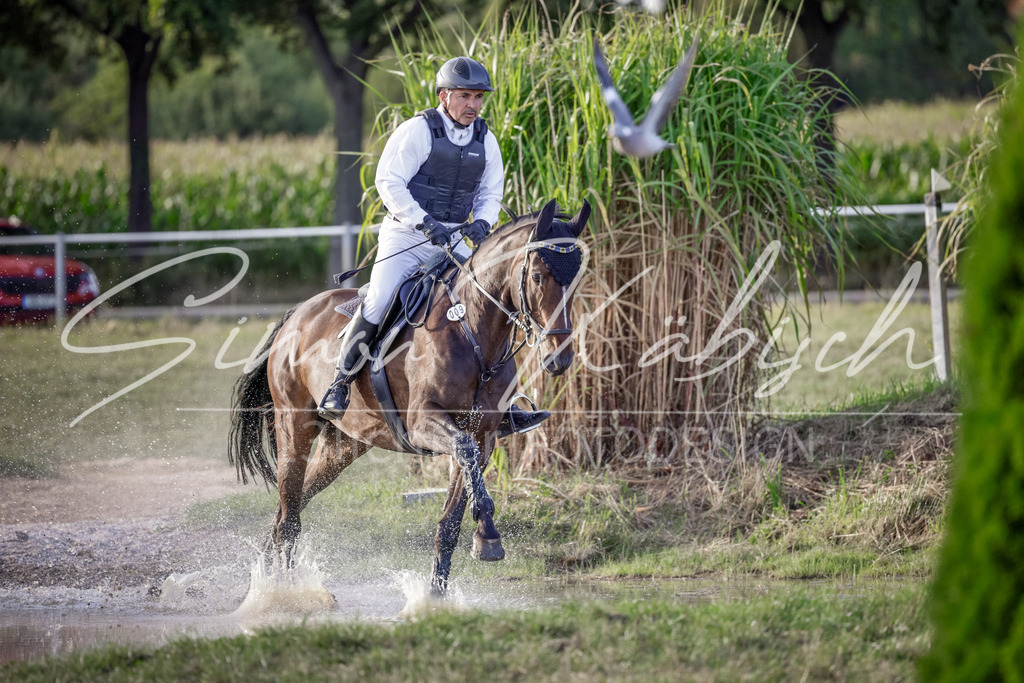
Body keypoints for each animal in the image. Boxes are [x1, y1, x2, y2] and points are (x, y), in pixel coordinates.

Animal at [228, 199, 591, 596]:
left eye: (577, 279)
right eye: (538, 276)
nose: (559, 359)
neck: (473, 333)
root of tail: (296, 315)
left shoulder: (484, 434)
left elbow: (451, 518)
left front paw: (446, 583)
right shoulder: (424, 423)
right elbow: (463, 451)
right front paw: (487, 533)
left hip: (343, 446)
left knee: (287, 511)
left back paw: (269, 580)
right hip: (294, 426)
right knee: (289, 516)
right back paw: (287, 592)